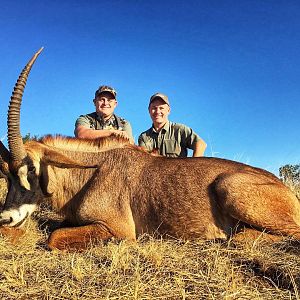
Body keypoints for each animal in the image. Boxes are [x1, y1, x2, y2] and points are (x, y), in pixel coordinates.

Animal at [0, 48, 300, 251]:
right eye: (6, 175)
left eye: (31, 169)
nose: (6, 218)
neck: (90, 171)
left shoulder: (118, 228)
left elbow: (53, 237)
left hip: (230, 187)